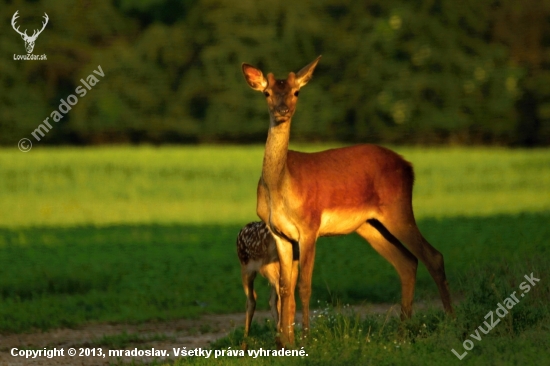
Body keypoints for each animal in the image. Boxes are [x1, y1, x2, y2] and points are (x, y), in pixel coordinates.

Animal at [244, 55, 454, 348]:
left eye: (296, 92)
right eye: (267, 93)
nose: (283, 110)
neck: (280, 187)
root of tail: (409, 166)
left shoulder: (310, 226)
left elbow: (305, 285)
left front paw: (306, 339)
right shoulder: (279, 234)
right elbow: (285, 288)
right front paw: (285, 343)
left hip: (398, 209)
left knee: (433, 256)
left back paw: (452, 322)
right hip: (369, 224)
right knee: (408, 262)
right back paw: (402, 333)